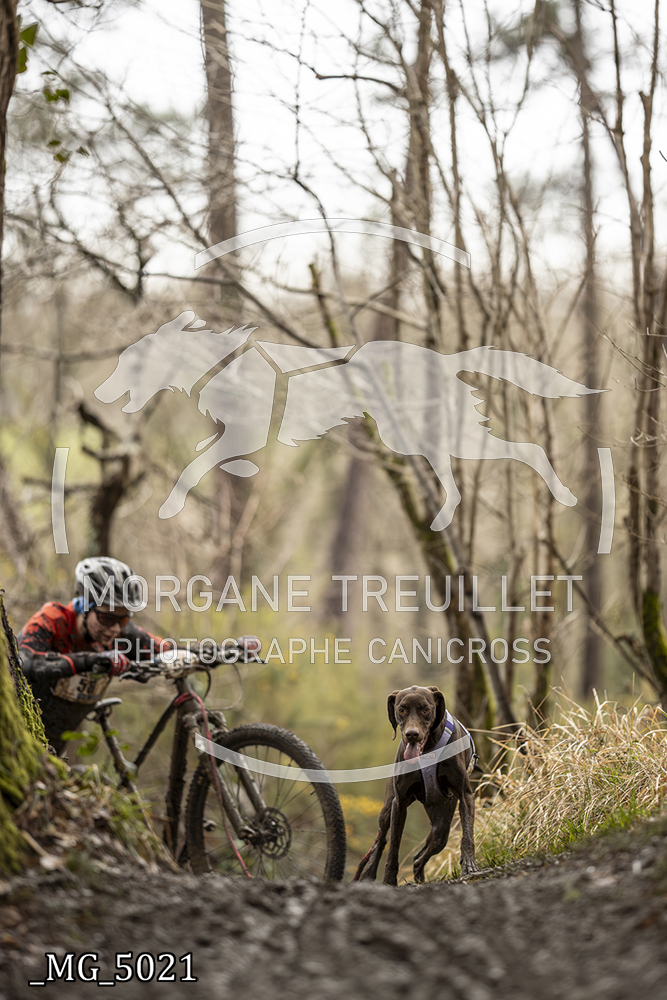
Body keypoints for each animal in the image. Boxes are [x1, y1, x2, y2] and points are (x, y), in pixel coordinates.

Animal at [354, 685, 479, 885]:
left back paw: (419, 879)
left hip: (441, 827)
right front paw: (389, 879)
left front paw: (469, 865)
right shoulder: (399, 802)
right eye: (401, 710)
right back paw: (369, 873)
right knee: (380, 841)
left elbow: (467, 834)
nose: (411, 734)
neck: (427, 749)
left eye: (426, 709)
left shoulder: (465, 795)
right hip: (387, 809)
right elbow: (393, 846)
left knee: (421, 855)